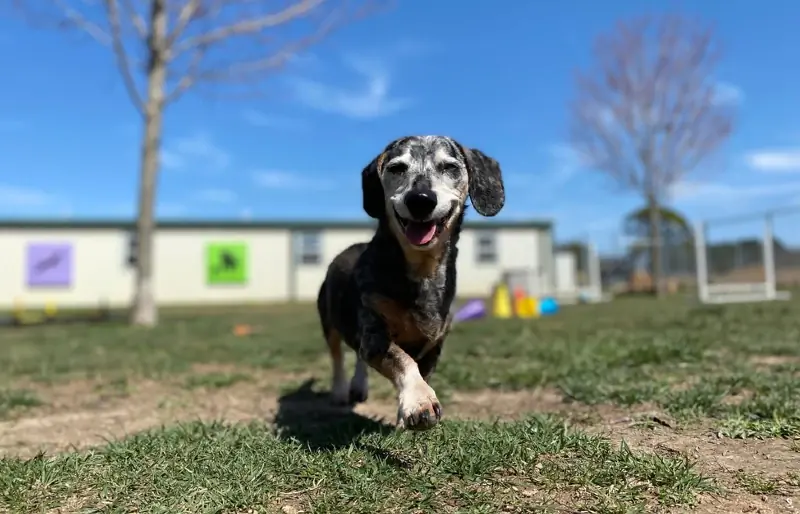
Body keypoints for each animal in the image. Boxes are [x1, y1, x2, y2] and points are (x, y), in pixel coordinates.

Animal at [316, 135, 504, 428]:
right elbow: (402, 360)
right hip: (329, 320)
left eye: (450, 167)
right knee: (337, 357)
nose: (420, 199)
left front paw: (409, 408)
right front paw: (419, 401)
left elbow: (420, 370)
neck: (421, 271)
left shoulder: (434, 344)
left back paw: (359, 386)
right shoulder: (374, 334)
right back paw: (339, 391)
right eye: (397, 168)